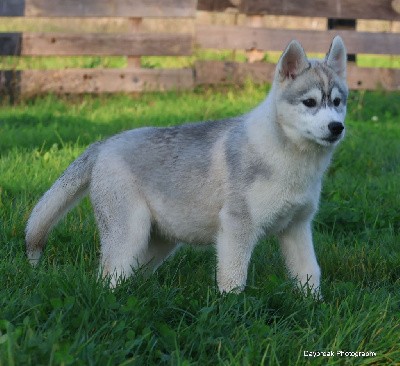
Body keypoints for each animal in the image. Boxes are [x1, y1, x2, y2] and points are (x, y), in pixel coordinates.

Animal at [26, 36, 348, 294]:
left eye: (337, 101)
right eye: (309, 102)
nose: (337, 127)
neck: (289, 157)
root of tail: (104, 143)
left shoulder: (297, 228)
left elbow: (310, 273)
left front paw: (314, 307)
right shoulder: (236, 227)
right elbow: (233, 281)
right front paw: (231, 312)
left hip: (157, 241)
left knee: (132, 274)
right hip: (129, 233)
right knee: (108, 277)